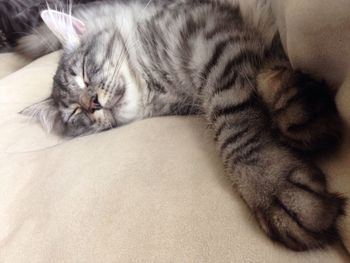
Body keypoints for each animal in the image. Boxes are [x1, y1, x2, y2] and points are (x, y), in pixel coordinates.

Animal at [17, 0, 344, 252]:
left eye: (84, 75)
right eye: (75, 112)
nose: (91, 103)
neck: (155, 83)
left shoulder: (214, 44)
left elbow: (233, 121)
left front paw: (269, 184)